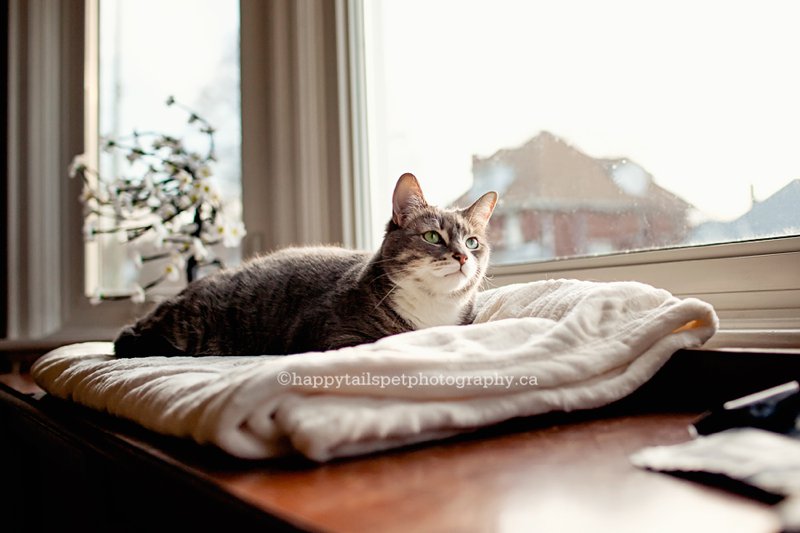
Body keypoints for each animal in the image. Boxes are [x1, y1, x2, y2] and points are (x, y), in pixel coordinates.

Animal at [112, 174, 496, 358]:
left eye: (472, 242)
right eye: (432, 237)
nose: (462, 256)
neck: (433, 308)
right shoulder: (333, 334)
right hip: (187, 326)